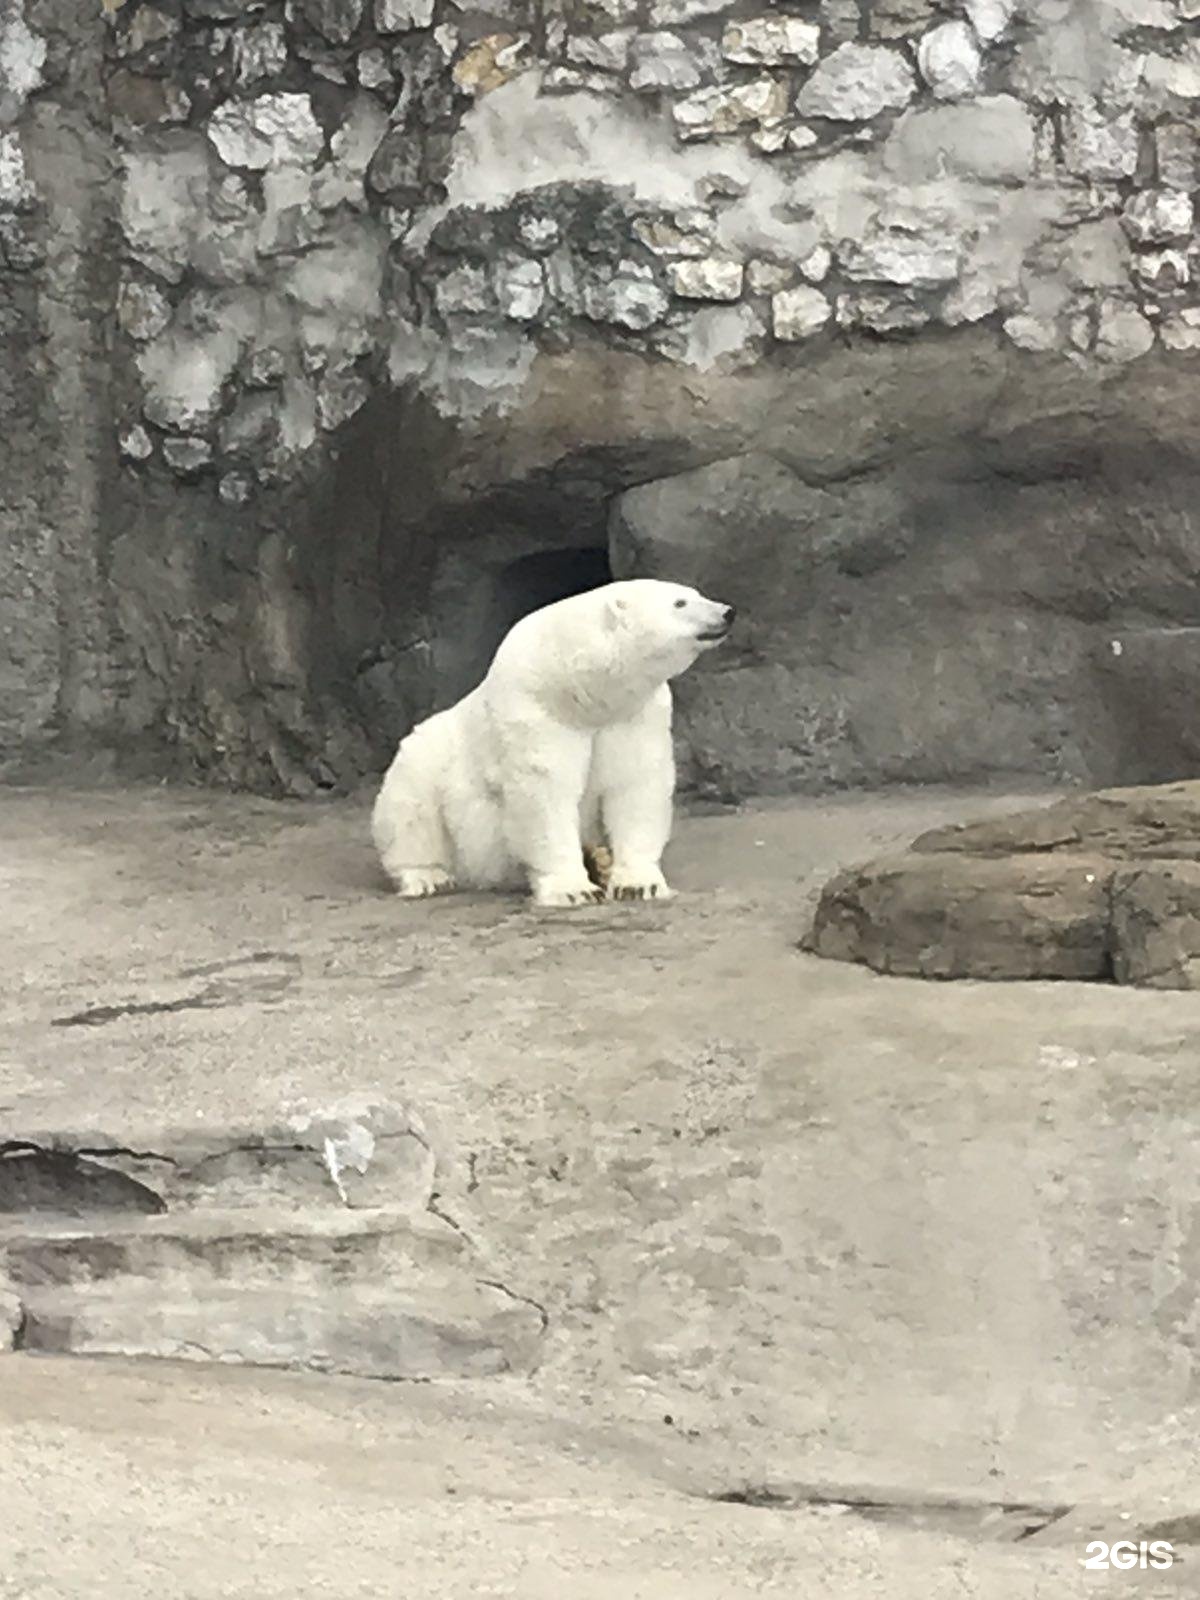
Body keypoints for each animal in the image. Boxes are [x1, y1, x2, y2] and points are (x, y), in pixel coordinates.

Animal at [371, 579, 739, 908]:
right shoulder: (536, 710)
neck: (578, 691)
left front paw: (638, 884)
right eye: (680, 603)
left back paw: (599, 860)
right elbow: (545, 791)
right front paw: (574, 890)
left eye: (696, 593)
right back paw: (427, 877)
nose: (727, 612)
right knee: (411, 811)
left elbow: (634, 785)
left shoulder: (635, 715)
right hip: (428, 759)